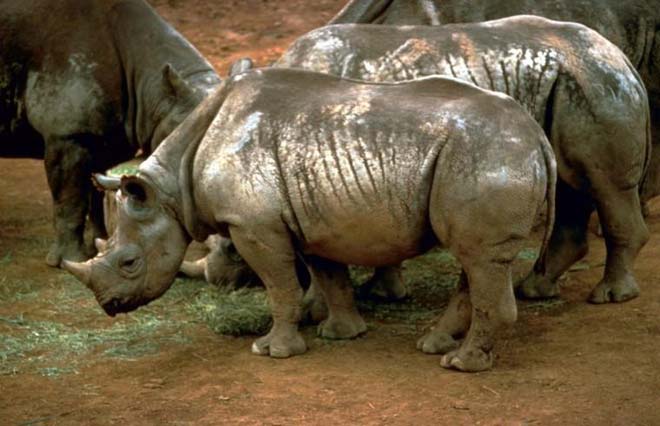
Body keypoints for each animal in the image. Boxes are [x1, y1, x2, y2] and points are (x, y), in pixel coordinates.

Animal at [0, 0, 222, 266]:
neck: (154, 89)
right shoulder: (67, 134)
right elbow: (71, 200)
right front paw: (69, 260)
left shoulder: (104, 136)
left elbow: (94, 194)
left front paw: (100, 245)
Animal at [64, 68, 556, 372]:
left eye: (129, 262)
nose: (109, 306)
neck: (170, 190)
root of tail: (537, 136)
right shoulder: (313, 219)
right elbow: (328, 274)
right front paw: (342, 335)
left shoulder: (253, 226)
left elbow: (279, 286)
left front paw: (272, 352)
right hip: (487, 157)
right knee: (476, 261)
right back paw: (436, 346)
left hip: (488, 157)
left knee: (479, 259)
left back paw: (460, 366)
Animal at [276, 16, 652, 310]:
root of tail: (619, 55)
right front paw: (381, 293)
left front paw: (318, 307)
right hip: (576, 83)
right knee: (571, 184)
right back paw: (534, 290)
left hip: (597, 82)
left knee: (605, 186)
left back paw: (609, 295)